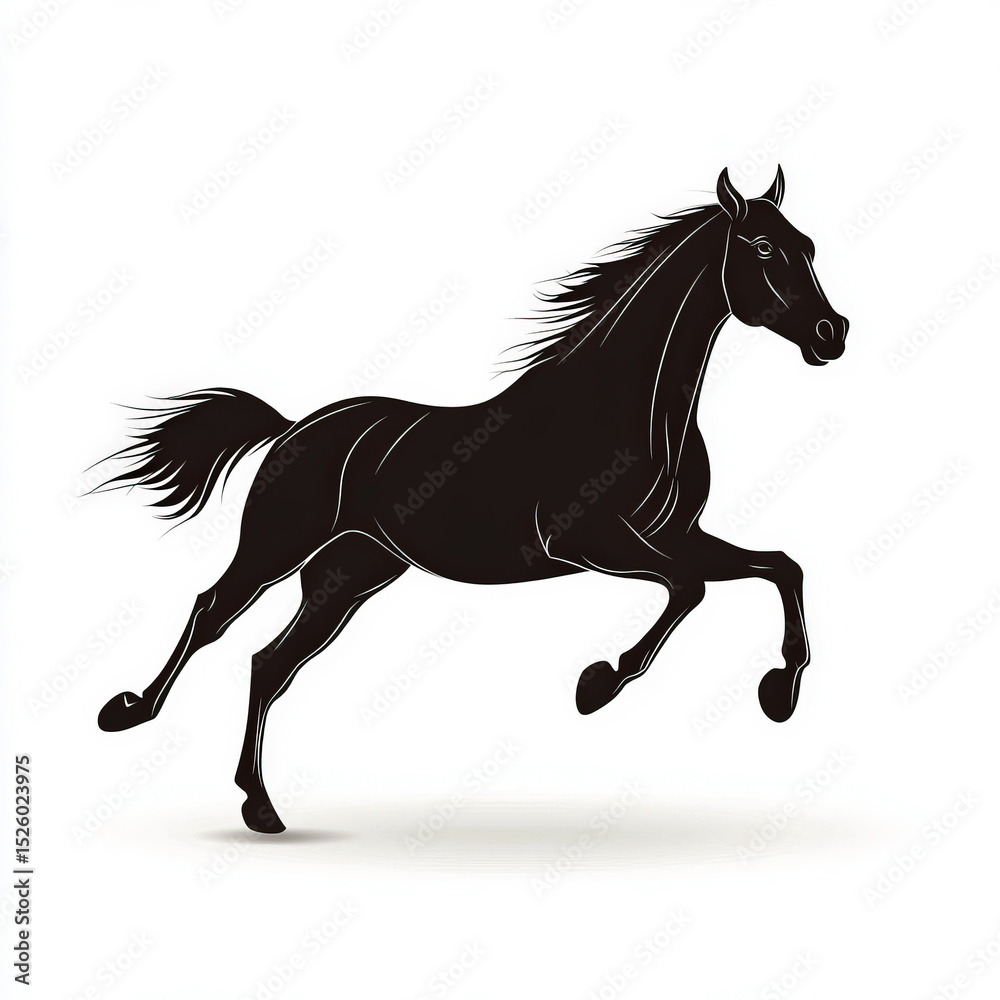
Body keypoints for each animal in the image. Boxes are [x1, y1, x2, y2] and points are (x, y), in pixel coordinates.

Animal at [94, 167, 849, 833]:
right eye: (762, 248)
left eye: (809, 245)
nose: (832, 334)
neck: (629, 408)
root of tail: (292, 427)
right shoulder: (587, 540)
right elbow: (690, 588)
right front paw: (596, 685)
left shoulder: (674, 535)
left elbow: (779, 567)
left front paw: (779, 694)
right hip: (277, 547)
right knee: (211, 613)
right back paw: (128, 710)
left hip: (349, 574)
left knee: (270, 664)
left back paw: (260, 806)